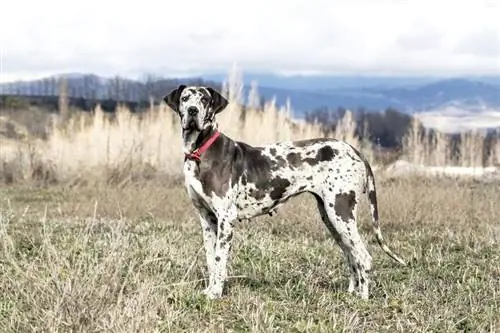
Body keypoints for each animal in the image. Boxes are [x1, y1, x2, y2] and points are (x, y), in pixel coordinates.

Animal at [164, 84, 406, 300]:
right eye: (185, 98)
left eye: (204, 99)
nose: (192, 111)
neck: (200, 151)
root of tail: (355, 151)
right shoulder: (207, 219)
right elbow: (210, 259)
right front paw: (210, 290)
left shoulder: (225, 219)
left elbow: (219, 260)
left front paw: (215, 294)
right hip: (331, 218)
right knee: (351, 256)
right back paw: (352, 293)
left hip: (341, 213)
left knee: (364, 257)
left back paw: (363, 298)